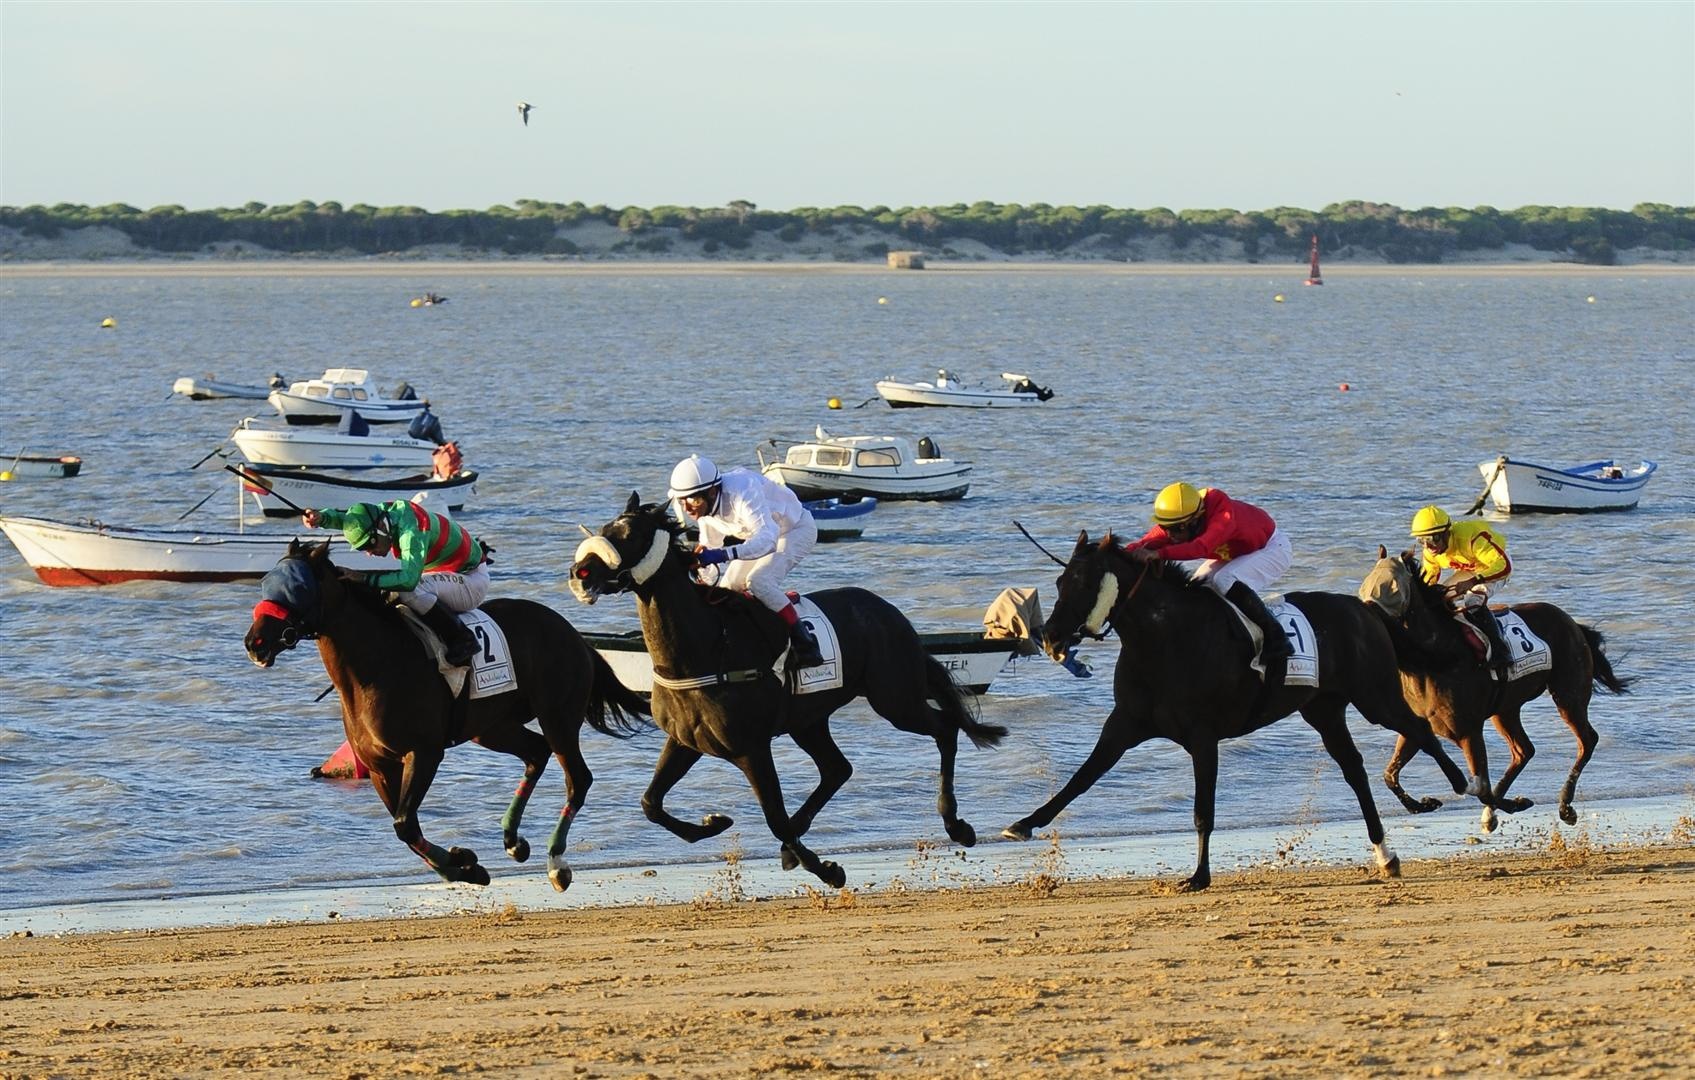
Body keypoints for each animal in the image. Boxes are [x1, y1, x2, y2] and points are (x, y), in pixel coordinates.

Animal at [242, 539, 650, 881]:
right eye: (265, 583)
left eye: (298, 588)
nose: (254, 642)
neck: (375, 665)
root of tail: (573, 634)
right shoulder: (378, 765)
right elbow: (405, 826)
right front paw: (463, 864)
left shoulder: (423, 752)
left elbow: (404, 823)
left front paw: (462, 865)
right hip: (491, 727)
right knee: (536, 752)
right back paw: (513, 842)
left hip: (558, 716)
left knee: (577, 778)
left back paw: (556, 862)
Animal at [566, 491, 1003, 888]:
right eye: (605, 528)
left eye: (630, 534)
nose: (579, 573)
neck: (705, 651)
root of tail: (889, 612)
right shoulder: (685, 741)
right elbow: (650, 803)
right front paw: (713, 823)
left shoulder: (752, 748)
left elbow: (774, 818)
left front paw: (827, 870)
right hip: (808, 720)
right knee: (837, 768)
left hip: (896, 699)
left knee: (945, 729)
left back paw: (956, 824)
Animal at [996, 532, 1478, 895]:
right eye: (1060, 581)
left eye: (1084, 582)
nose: (1052, 638)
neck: (1165, 639)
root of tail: (1366, 608)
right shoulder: (1124, 724)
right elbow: (1080, 779)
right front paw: (1023, 824)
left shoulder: (1202, 736)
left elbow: (1202, 810)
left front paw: (1198, 876)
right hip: (1324, 710)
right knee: (1355, 769)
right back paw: (1386, 853)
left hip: (1374, 696)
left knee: (1419, 729)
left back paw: (1466, 787)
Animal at [1349, 545, 1627, 834]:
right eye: (1365, 584)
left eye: (1391, 586)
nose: (1364, 614)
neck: (1434, 660)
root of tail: (1574, 625)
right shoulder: (1418, 727)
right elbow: (1390, 775)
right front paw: (1423, 804)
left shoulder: (1468, 732)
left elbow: (1481, 788)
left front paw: (1516, 803)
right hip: (1505, 709)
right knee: (1523, 750)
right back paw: (1493, 813)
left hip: (1568, 694)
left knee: (1586, 740)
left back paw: (1565, 806)